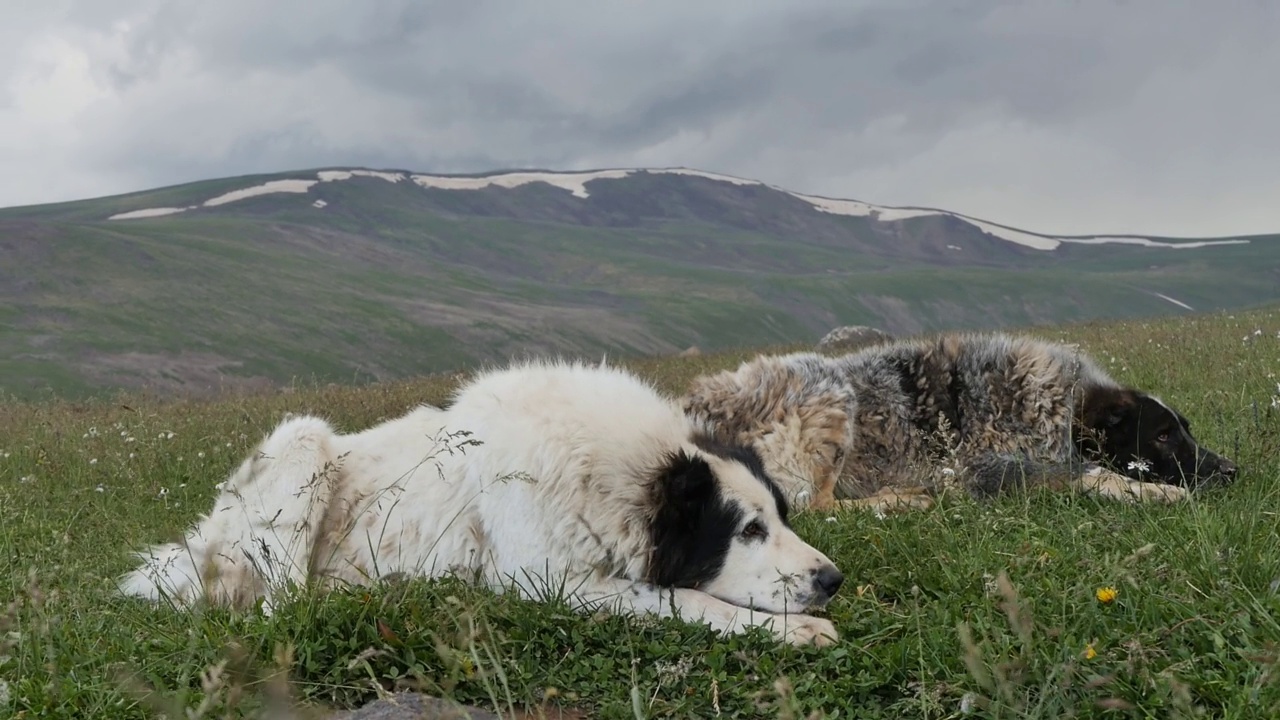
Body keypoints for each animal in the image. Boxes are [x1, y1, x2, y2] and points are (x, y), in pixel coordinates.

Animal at [117, 358, 839, 645]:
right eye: (746, 530)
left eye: (781, 516)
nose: (832, 580)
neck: (607, 469)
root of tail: (199, 543)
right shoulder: (549, 582)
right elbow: (685, 599)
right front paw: (795, 629)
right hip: (303, 440)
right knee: (279, 604)